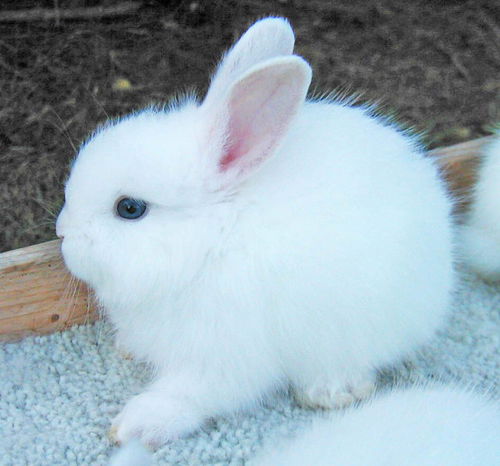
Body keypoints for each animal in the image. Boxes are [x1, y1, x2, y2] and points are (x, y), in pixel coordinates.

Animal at [56, 18, 456, 446]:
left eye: (130, 209)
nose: (62, 232)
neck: (212, 241)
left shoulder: (224, 355)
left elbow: (191, 396)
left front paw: (136, 424)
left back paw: (331, 390)